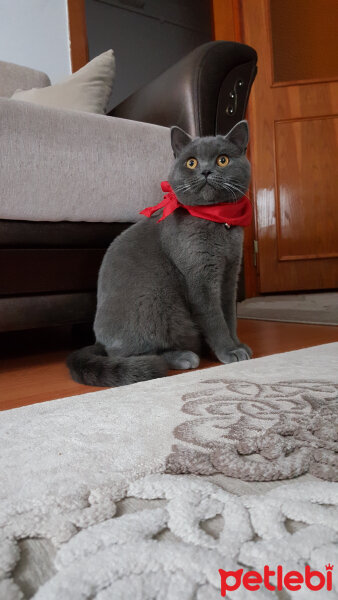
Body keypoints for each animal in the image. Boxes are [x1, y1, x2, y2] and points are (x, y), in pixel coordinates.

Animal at [66, 119, 251, 386]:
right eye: (191, 162)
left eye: (223, 160)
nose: (206, 171)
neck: (217, 220)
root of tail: (98, 341)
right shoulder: (200, 280)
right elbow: (214, 318)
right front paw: (228, 351)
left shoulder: (229, 275)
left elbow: (229, 316)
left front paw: (237, 345)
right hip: (156, 299)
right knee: (135, 353)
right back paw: (184, 357)